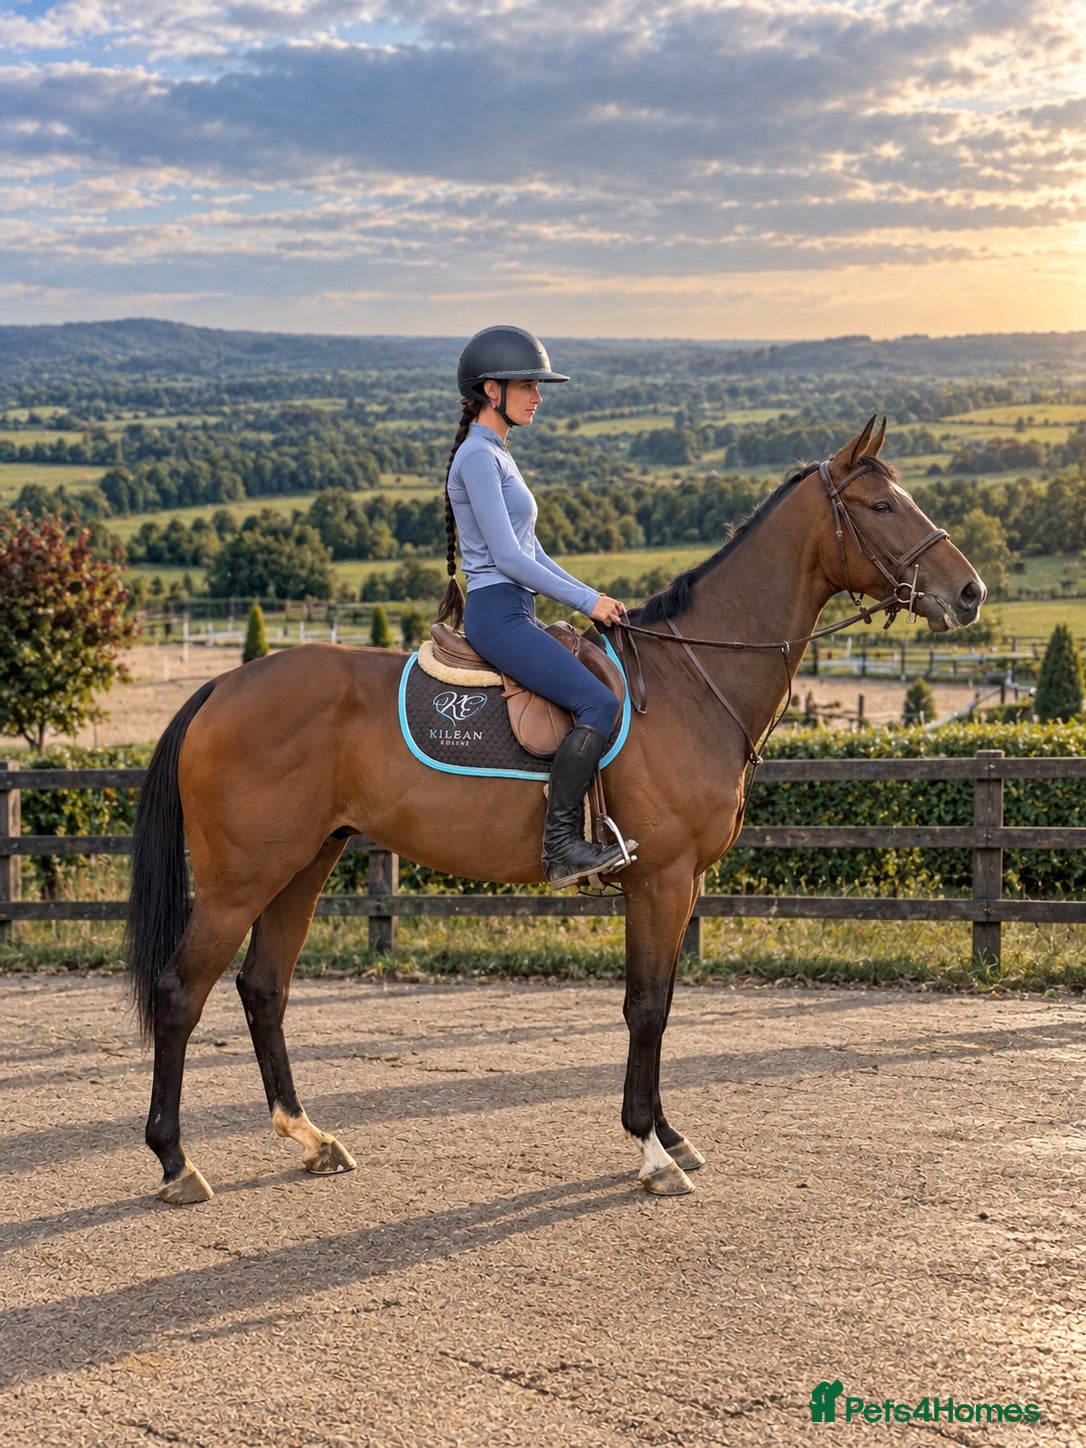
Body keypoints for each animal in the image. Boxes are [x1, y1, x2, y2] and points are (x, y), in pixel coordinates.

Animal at [126, 420, 986, 1204]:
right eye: (881, 505)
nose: (970, 592)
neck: (690, 681)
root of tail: (222, 686)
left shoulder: (682, 885)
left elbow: (663, 1003)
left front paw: (669, 1133)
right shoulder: (661, 879)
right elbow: (645, 1008)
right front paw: (651, 1152)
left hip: (307, 862)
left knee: (264, 988)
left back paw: (310, 1138)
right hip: (243, 879)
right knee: (179, 994)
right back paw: (175, 1162)